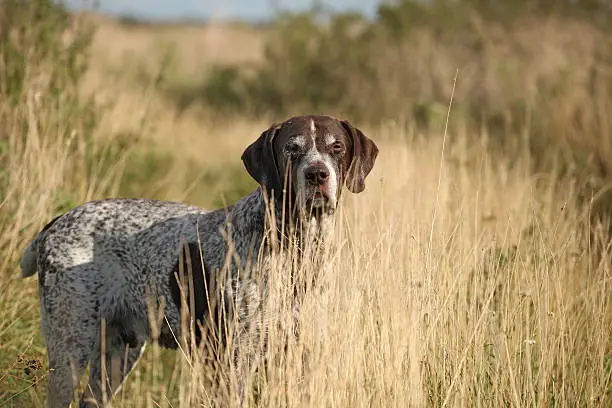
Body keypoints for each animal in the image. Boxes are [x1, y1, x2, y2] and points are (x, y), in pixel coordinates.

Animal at [19, 113, 378, 406]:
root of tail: (56, 223)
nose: (317, 175)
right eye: (292, 149)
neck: (297, 249)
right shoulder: (233, 365)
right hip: (71, 349)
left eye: (337, 148)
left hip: (118, 355)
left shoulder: (299, 362)